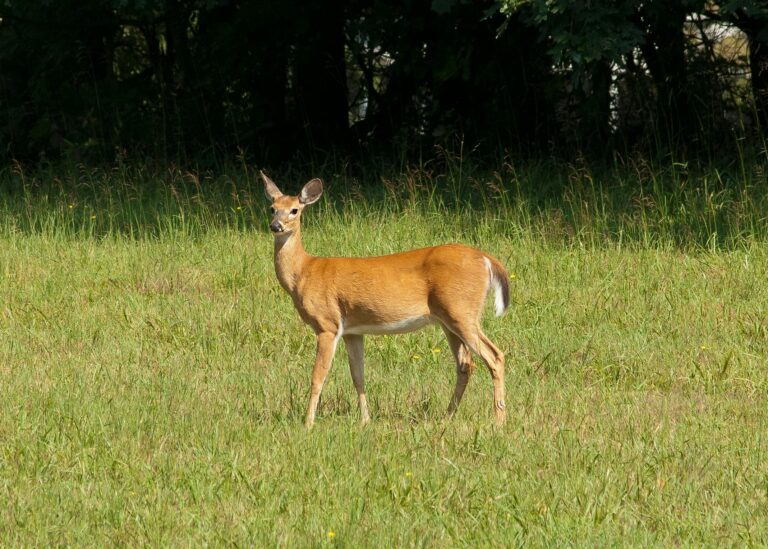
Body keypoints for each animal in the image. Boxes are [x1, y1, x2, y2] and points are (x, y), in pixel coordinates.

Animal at [262, 171, 510, 428]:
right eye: (272, 208)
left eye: (294, 210)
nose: (275, 226)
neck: (304, 272)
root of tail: (486, 259)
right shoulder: (352, 331)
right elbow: (358, 376)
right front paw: (365, 420)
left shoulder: (327, 324)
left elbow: (317, 377)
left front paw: (308, 423)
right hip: (448, 319)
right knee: (465, 364)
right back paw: (448, 416)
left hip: (461, 310)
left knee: (495, 356)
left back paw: (499, 420)